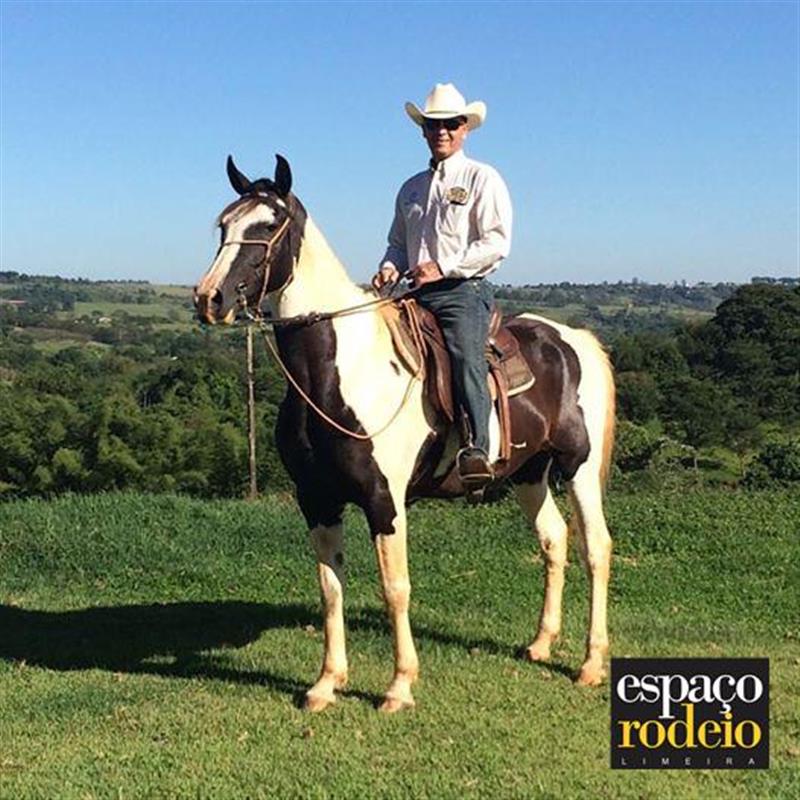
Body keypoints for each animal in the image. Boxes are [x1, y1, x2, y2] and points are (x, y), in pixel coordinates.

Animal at [194, 155, 616, 713]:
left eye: (267, 226)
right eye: (224, 225)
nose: (208, 298)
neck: (338, 369)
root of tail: (572, 339)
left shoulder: (383, 499)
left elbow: (395, 587)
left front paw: (399, 686)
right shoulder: (317, 498)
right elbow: (330, 588)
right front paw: (326, 683)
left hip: (578, 468)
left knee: (596, 548)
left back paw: (590, 663)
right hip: (530, 472)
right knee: (554, 539)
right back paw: (542, 643)